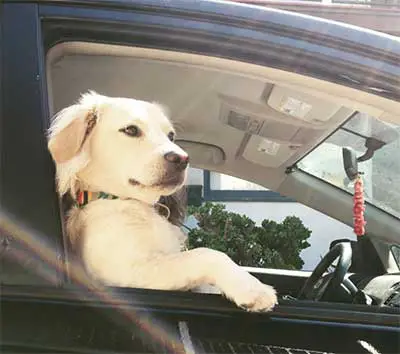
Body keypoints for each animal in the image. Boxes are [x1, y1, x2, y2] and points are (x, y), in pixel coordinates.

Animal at [47, 92, 278, 312]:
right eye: (131, 130)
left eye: (171, 135)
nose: (183, 159)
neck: (129, 202)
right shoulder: (130, 273)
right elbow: (206, 254)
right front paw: (252, 288)